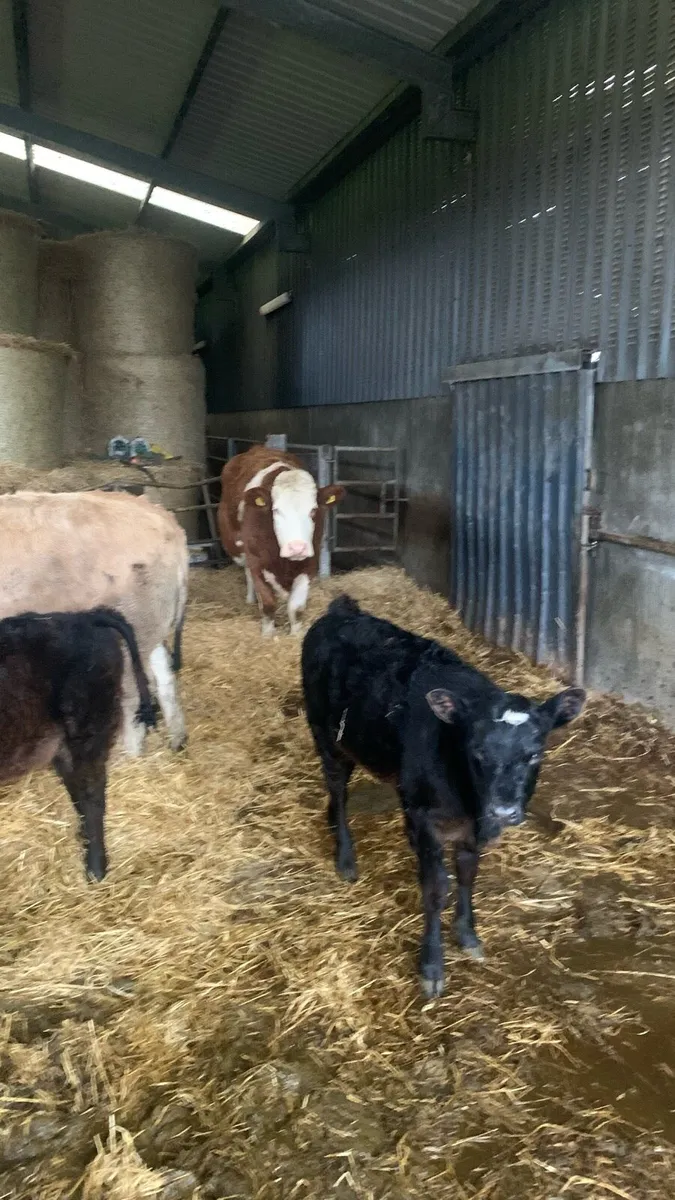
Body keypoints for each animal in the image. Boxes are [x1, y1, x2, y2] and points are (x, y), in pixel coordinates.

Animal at [0, 491, 188, 756]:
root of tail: (161, 516)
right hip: (150, 624)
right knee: (164, 678)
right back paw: (176, 740)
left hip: (132, 631)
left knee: (133, 694)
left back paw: (131, 757)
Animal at [0, 607, 156, 881]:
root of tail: (84, 617)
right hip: (65, 743)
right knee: (78, 789)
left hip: (90, 731)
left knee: (93, 796)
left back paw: (96, 869)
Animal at [217, 446, 344, 636]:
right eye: (276, 510)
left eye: (313, 510)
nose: (297, 548)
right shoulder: (256, 562)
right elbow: (268, 603)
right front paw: (268, 635)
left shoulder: (310, 562)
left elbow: (296, 607)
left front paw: (296, 633)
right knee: (247, 573)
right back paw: (250, 599)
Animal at [301, 595, 586, 998]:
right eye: (476, 750)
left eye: (535, 754)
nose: (504, 810)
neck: (468, 799)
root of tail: (342, 612)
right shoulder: (427, 819)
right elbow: (437, 888)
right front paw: (432, 964)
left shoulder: (471, 828)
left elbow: (467, 874)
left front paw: (467, 934)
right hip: (326, 737)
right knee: (338, 791)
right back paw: (344, 856)